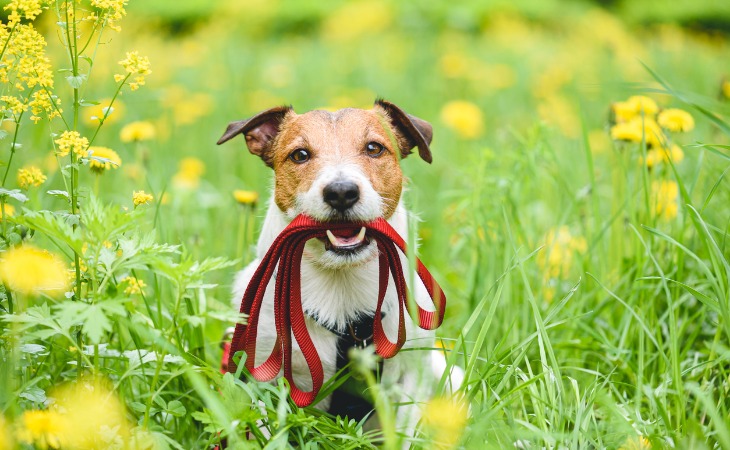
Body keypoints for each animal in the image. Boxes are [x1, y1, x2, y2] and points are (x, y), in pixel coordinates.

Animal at [215, 99, 460, 436]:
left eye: (374, 148)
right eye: (300, 154)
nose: (341, 192)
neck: (341, 287)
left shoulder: (411, 376)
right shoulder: (260, 376)